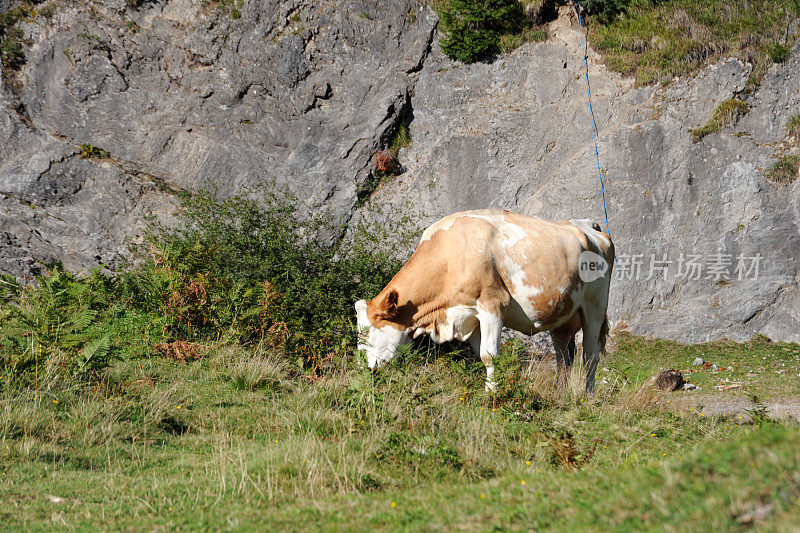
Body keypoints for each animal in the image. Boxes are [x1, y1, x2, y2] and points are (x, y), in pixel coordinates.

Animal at [354, 210, 616, 392]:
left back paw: (587, 395)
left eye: (369, 335)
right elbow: (481, 356)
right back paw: (560, 394)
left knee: (590, 355)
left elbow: (490, 355)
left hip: (595, 307)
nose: (367, 371)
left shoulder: (493, 306)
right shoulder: (470, 318)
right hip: (562, 315)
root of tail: (586, 225)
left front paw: (492, 395)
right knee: (564, 358)